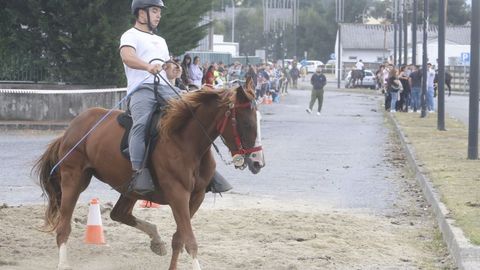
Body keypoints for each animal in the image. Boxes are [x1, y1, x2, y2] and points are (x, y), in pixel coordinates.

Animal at [33, 80, 264, 270]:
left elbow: (179, 239)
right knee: (64, 227)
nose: (257, 162)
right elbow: (190, 241)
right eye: (246, 123)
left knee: (118, 214)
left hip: (129, 188)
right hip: (73, 179)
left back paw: (156, 240)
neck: (186, 141)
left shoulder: (196, 197)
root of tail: (71, 129)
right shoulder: (178, 195)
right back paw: (63, 263)